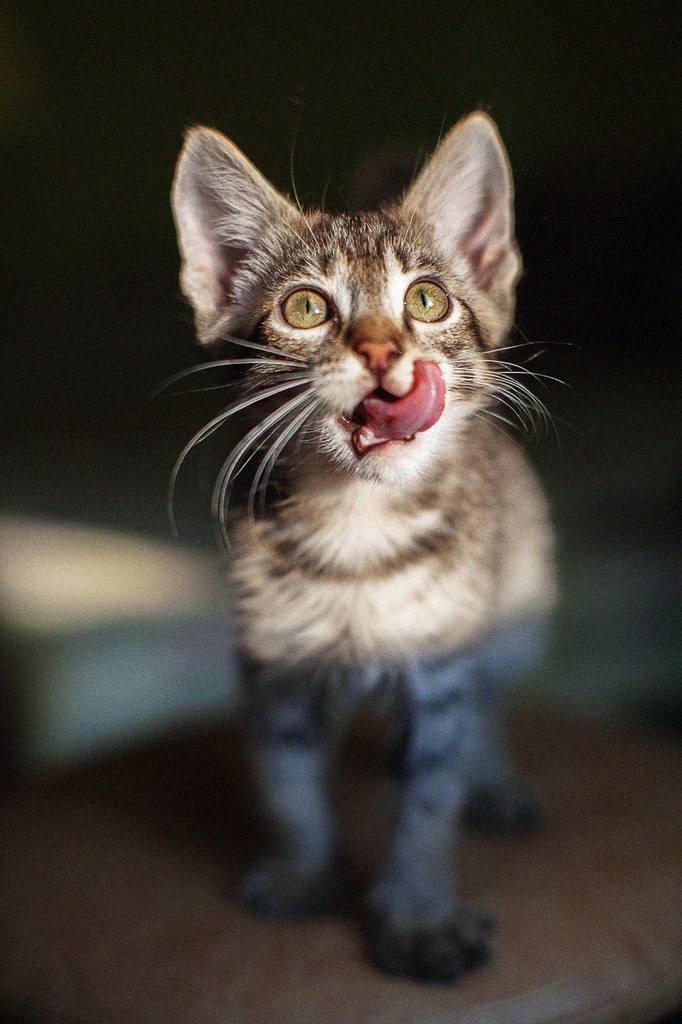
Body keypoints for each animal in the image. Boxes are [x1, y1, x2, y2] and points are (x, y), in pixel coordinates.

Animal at [170, 112, 556, 983]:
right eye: (307, 308)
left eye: (427, 300)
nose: (383, 352)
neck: (357, 531)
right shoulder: (273, 660)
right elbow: (286, 775)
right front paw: (306, 867)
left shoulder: (442, 662)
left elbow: (430, 792)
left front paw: (416, 914)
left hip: (516, 605)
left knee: (490, 701)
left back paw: (496, 779)